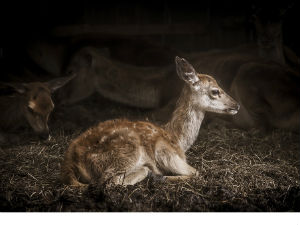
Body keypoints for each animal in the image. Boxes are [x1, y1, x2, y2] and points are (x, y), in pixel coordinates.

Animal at [61, 56, 239, 186]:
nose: (236, 105)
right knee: (110, 181)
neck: (177, 139)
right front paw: (161, 176)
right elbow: (196, 172)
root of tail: (70, 159)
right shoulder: (166, 152)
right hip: (127, 153)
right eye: (215, 91)